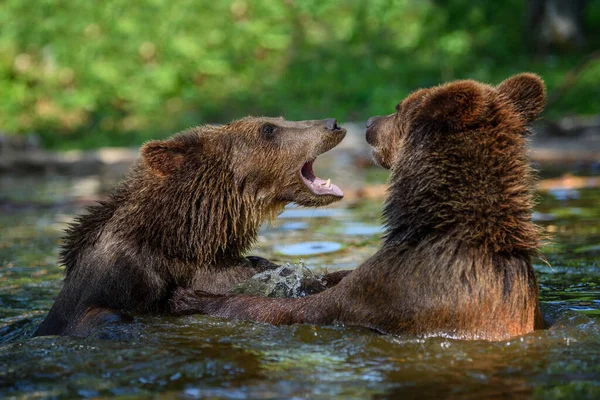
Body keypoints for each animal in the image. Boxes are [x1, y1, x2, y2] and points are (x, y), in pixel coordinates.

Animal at [169, 72, 548, 340]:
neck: (441, 225)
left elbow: (299, 311)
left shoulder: (393, 290)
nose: (368, 123)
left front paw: (195, 298)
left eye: (398, 107)